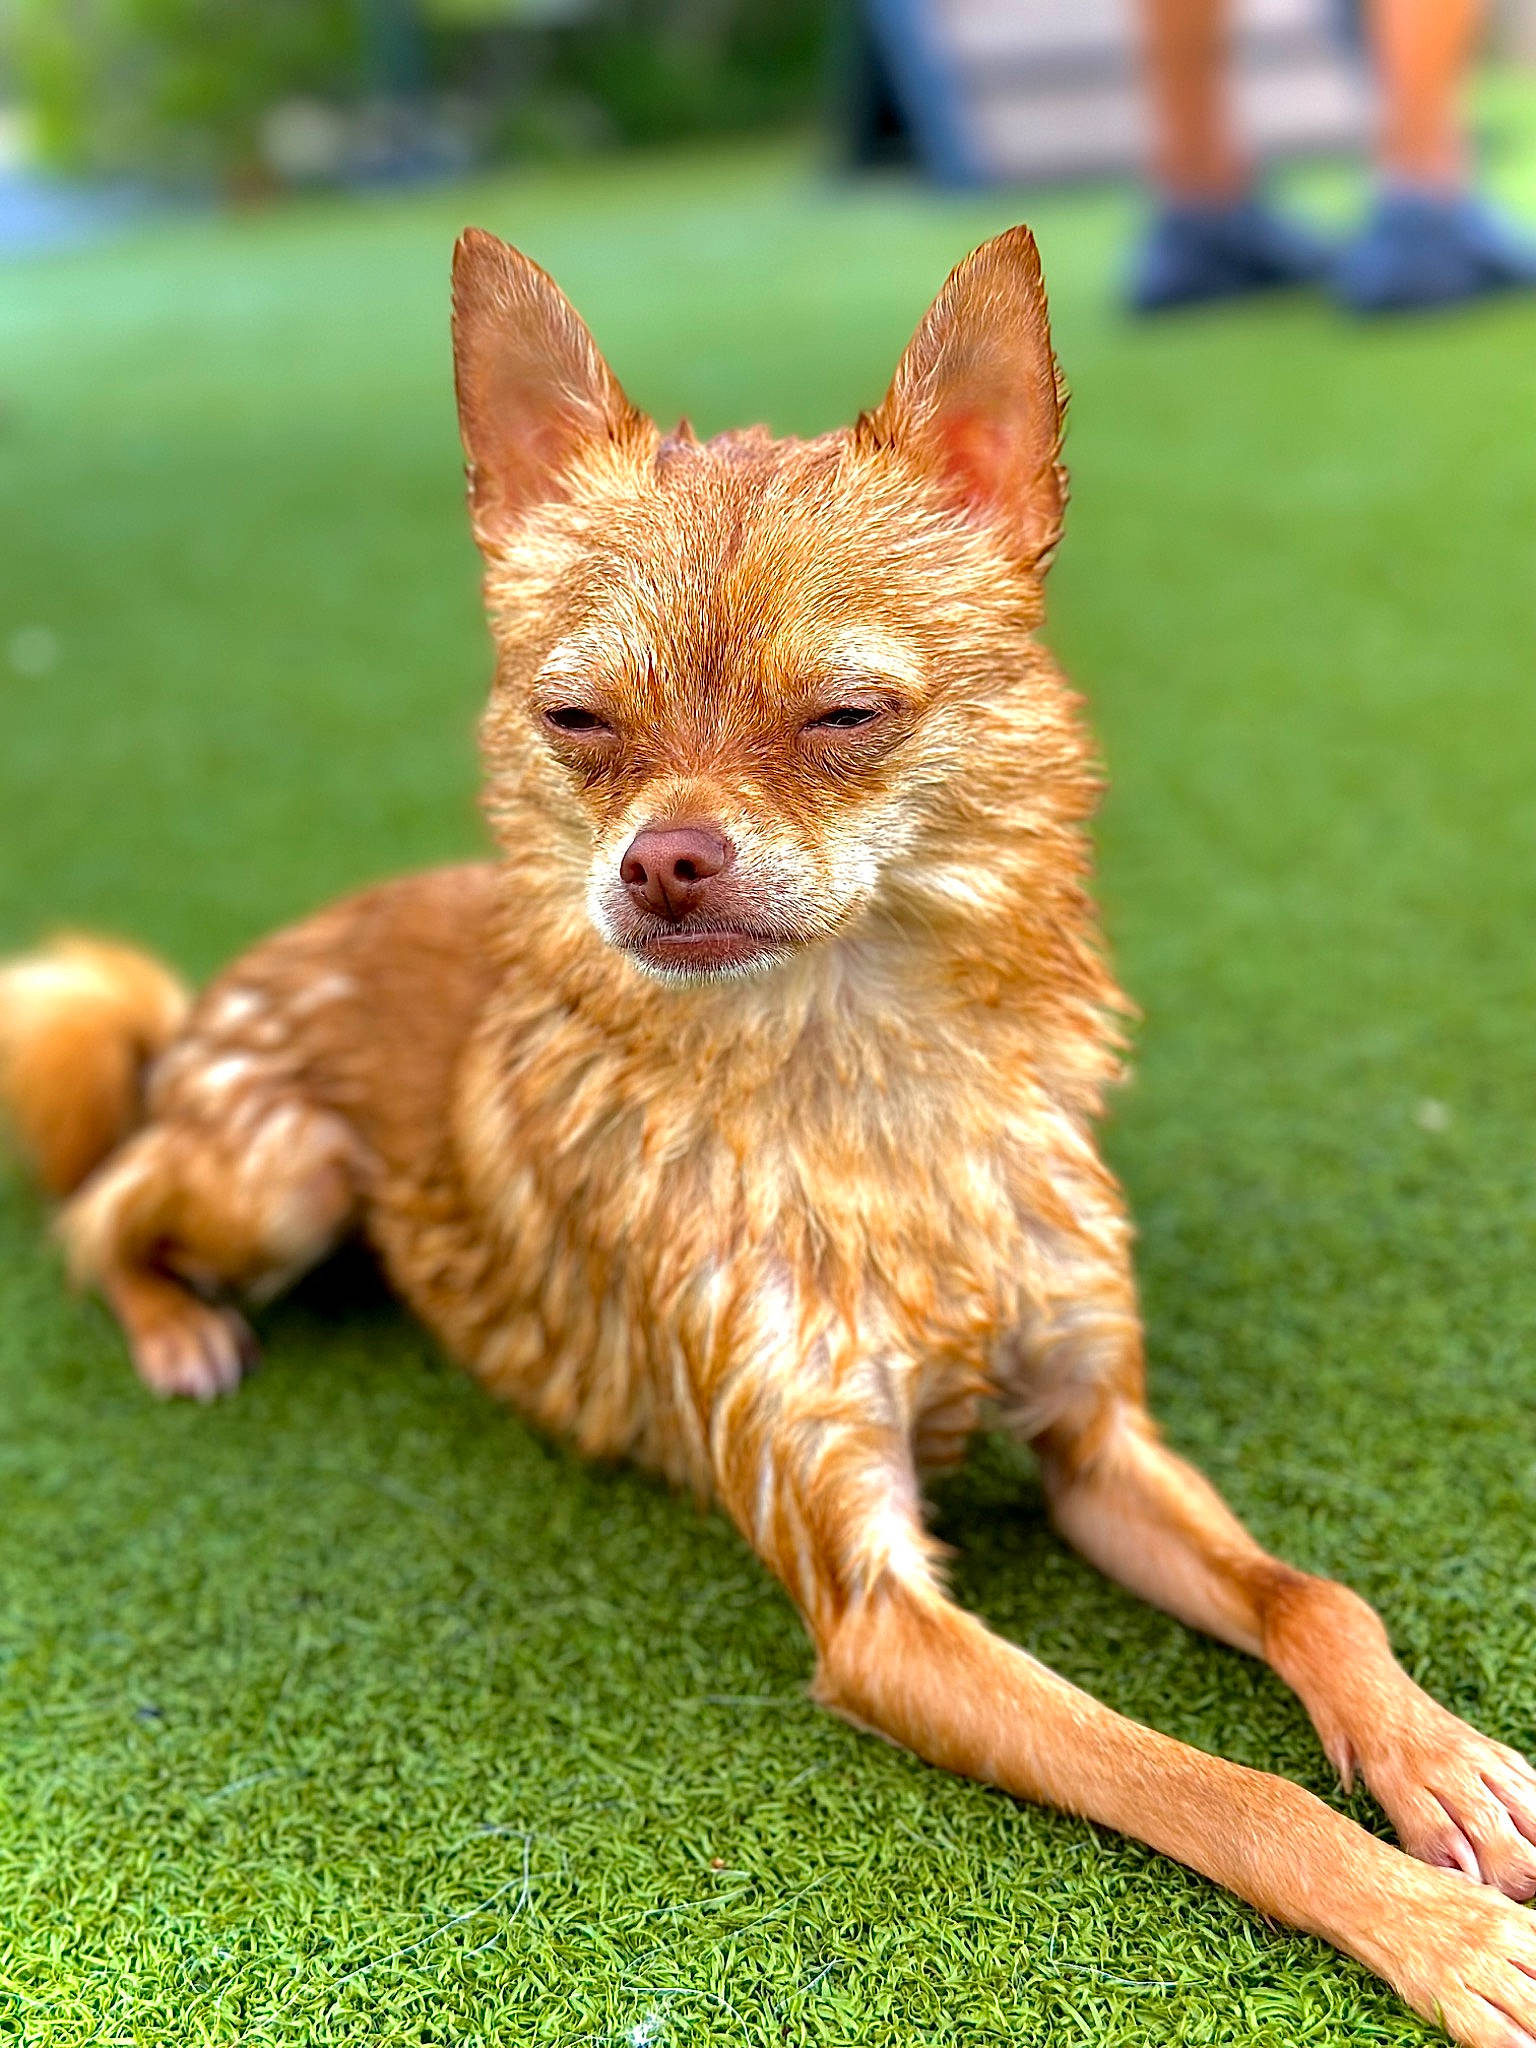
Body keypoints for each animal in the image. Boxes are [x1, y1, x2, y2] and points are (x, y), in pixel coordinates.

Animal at [3, 224, 1536, 2046]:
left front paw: (1436, 1759)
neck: (857, 1072)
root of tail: (226, 986)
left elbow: (1316, 1595)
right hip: (276, 1173)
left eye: (846, 719)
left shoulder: (1098, 1443)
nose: (659, 859)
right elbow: (1209, 1784)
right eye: (578, 723)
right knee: (100, 1200)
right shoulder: (878, 1607)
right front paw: (1433, 1927)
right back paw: (175, 1328)